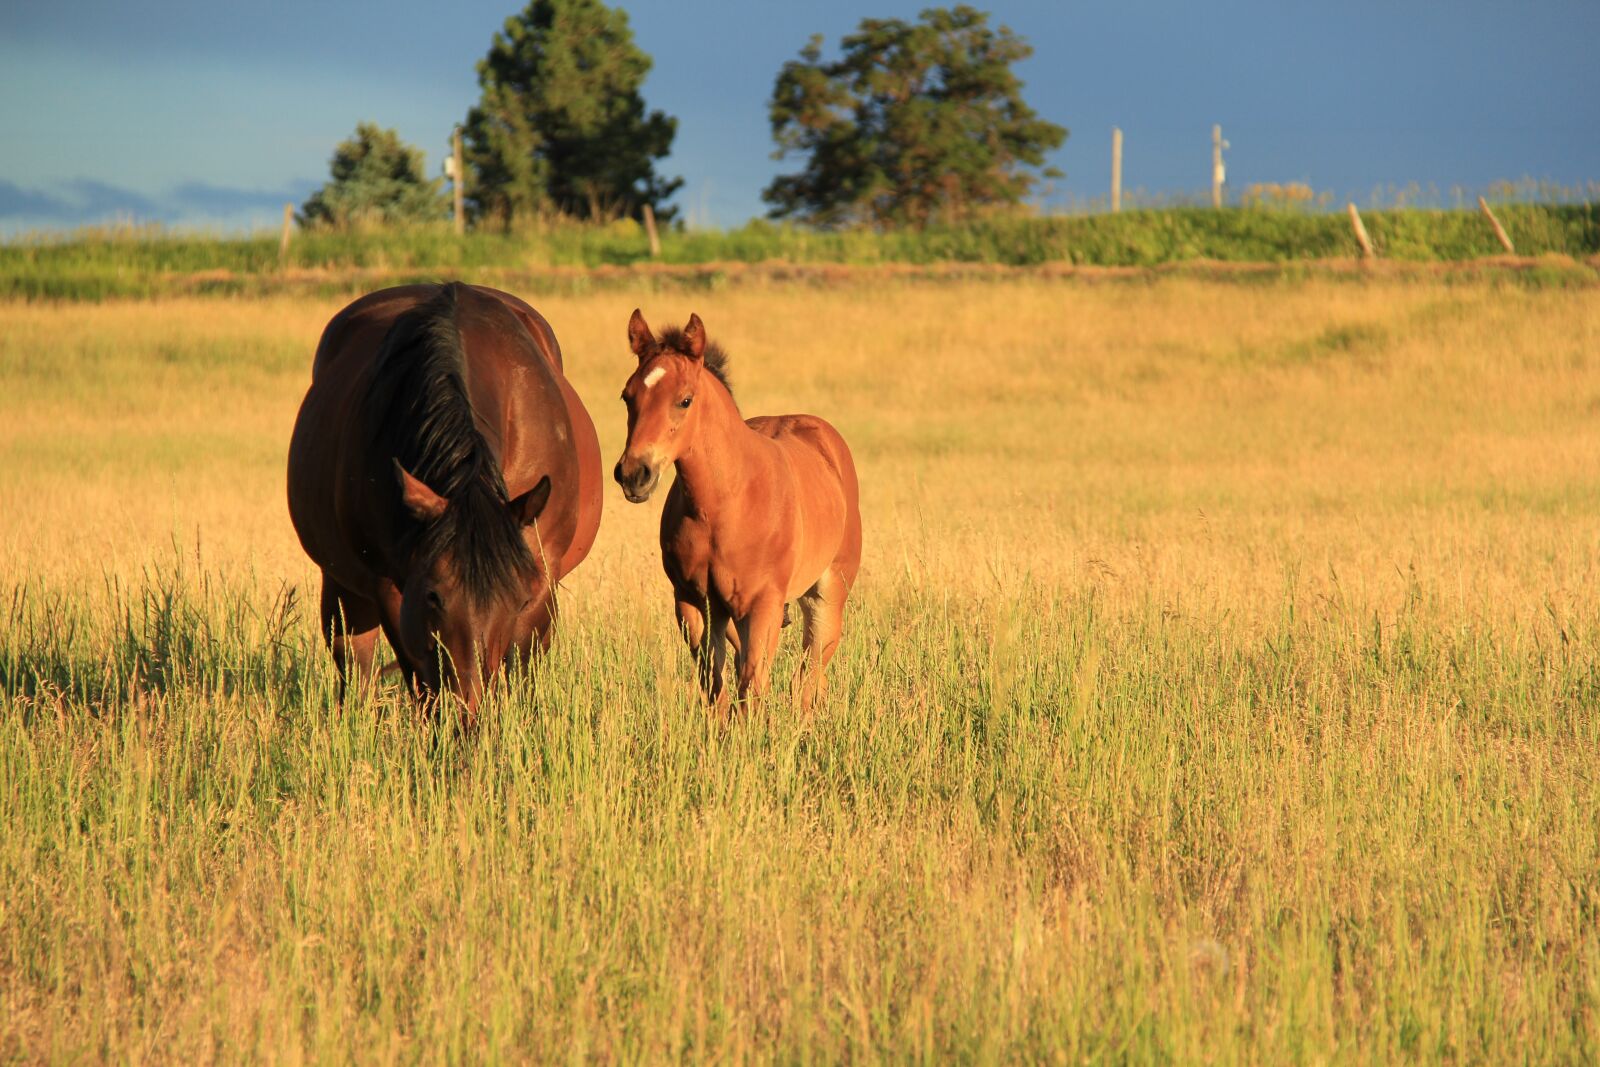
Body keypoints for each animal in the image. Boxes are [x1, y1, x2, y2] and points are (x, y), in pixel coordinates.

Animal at [287, 282, 603, 726]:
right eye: (435, 596)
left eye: (517, 598)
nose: (469, 711)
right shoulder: (396, 590)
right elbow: (422, 683)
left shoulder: (541, 578)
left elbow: (520, 675)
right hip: (340, 582)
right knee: (355, 664)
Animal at [613, 309, 861, 712]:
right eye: (627, 396)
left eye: (685, 400)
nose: (634, 474)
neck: (725, 503)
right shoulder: (693, 602)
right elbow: (715, 685)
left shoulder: (763, 604)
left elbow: (751, 685)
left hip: (827, 596)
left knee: (808, 676)